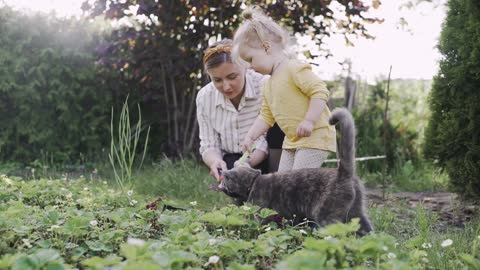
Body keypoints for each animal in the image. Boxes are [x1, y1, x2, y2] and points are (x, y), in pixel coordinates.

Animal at [219, 107, 374, 234]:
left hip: (326, 217)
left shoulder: (260, 214)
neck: (254, 182)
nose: (222, 173)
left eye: (228, 178)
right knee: (367, 231)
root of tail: (343, 172)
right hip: (357, 213)